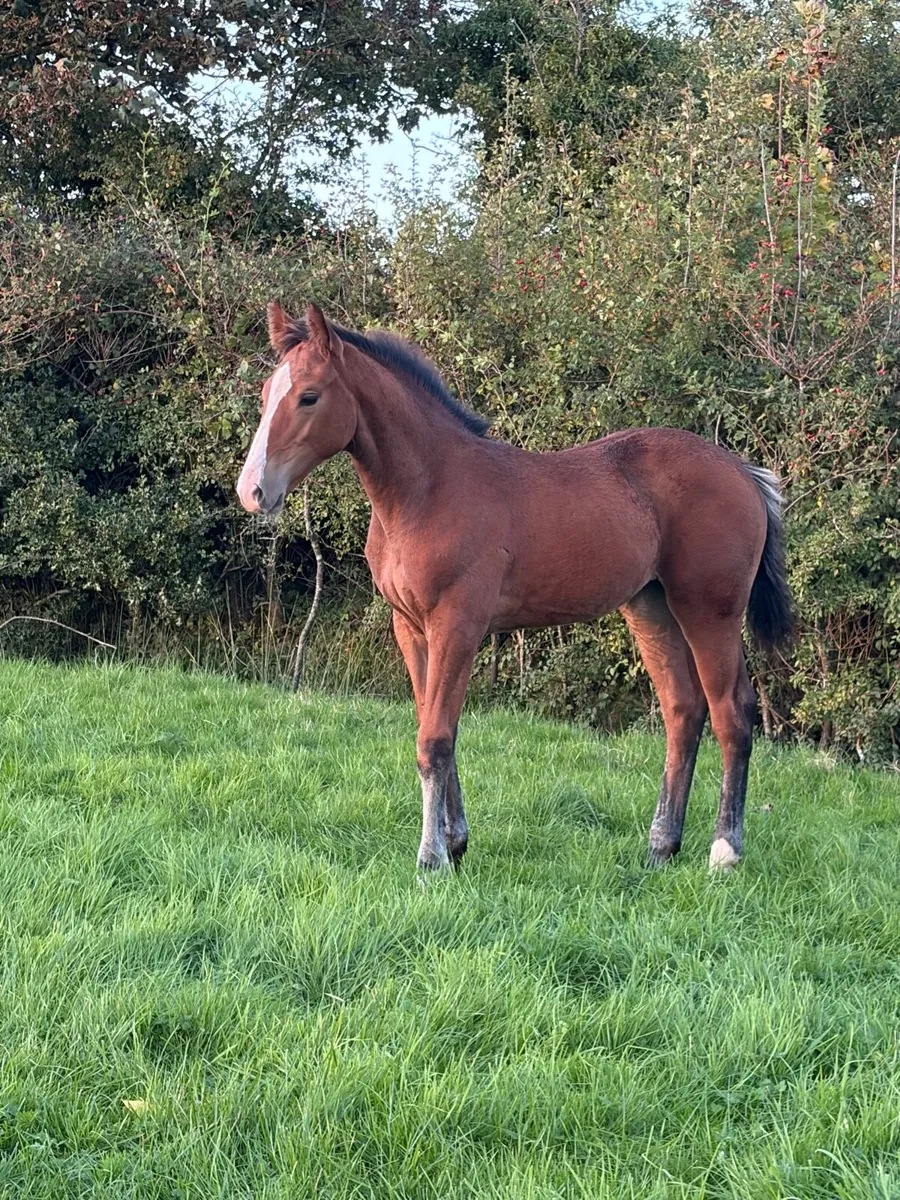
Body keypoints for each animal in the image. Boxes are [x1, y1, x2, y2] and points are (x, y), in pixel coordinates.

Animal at [237, 301, 793, 873]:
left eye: (308, 396)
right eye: (266, 393)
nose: (252, 491)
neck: (427, 489)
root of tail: (743, 471)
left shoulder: (458, 624)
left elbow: (435, 739)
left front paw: (431, 859)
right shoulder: (410, 628)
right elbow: (435, 727)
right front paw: (455, 842)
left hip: (709, 609)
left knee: (733, 712)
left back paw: (725, 851)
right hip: (651, 607)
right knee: (683, 710)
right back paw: (661, 847)